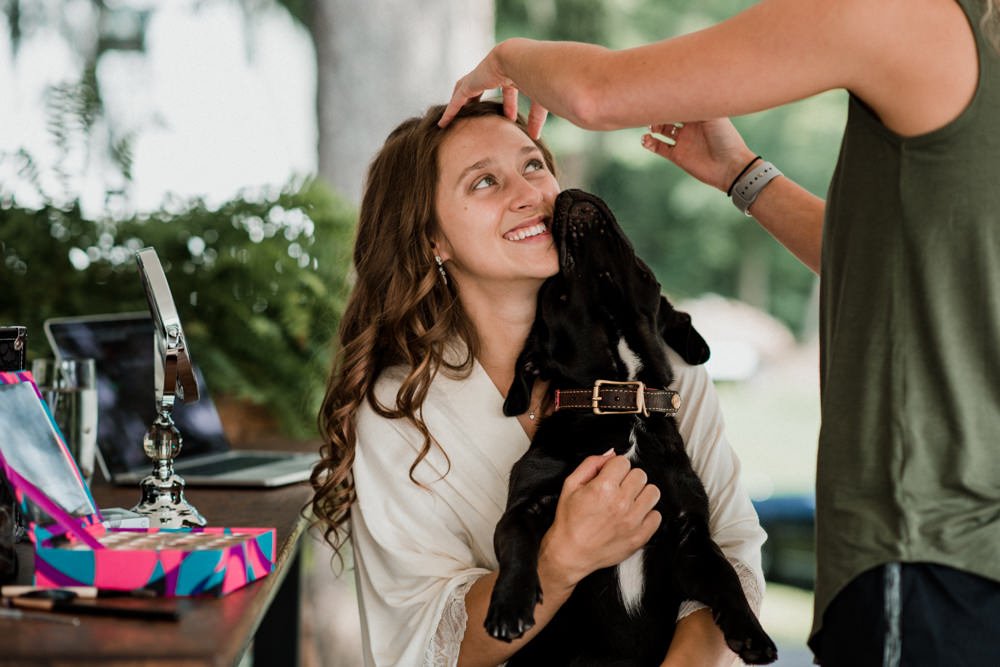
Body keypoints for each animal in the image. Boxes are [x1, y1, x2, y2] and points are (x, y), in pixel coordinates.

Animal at [488, 189, 776, 667]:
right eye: (552, 289)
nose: (573, 193)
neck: (622, 403)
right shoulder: (524, 506)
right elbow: (515, 543)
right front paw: (509, 604)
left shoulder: (691, 540)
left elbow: (727, 578)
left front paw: (751, 633)